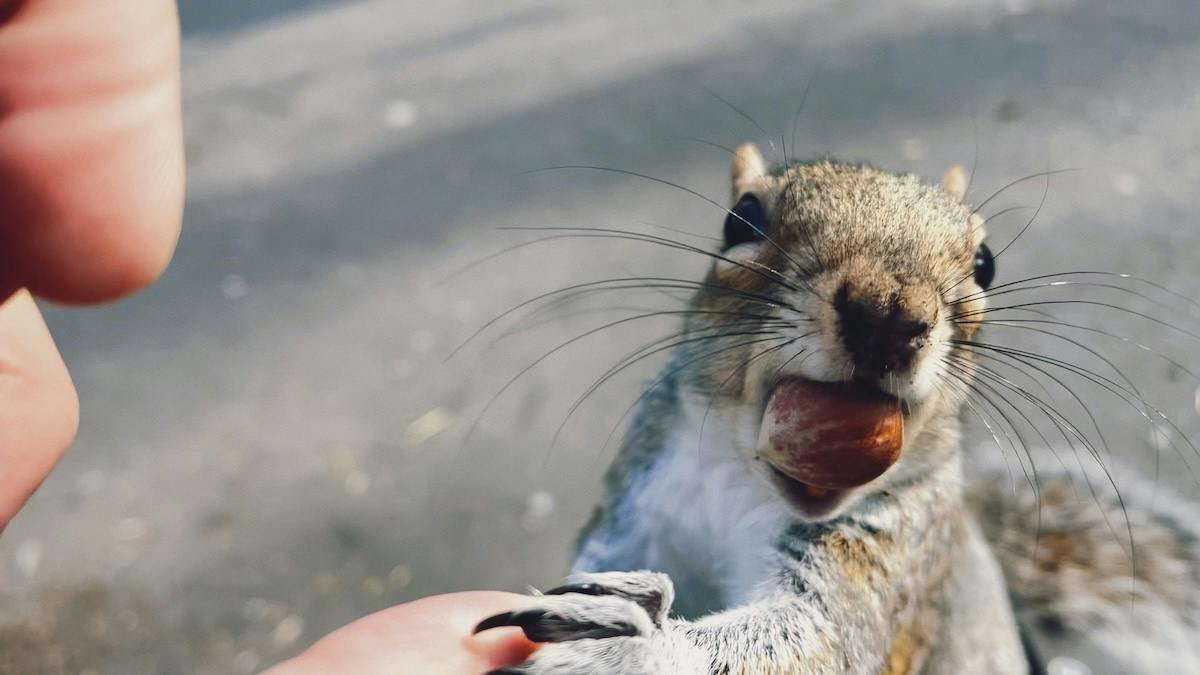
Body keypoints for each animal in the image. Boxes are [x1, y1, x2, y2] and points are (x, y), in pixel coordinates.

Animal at [473, 143, 1200, 674]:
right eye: (742, 218)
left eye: (987, 263)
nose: (890, 314)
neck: (736, 474)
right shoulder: (639, 502)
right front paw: (611, 601)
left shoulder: (887, 556)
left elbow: (815, 640)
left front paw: (626, 645)